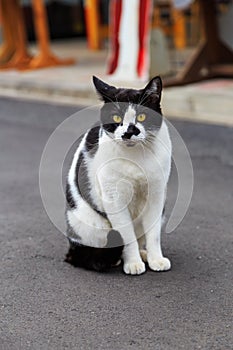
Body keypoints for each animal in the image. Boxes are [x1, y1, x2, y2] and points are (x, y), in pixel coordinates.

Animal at [64, 75, 172, 274]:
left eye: (141, 116)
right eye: (116, 117)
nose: (128, 132)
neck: (136, 157)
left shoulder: (156, 195)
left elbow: (153, 234)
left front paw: (156, 259)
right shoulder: (114, 198)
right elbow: (126, 236)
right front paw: (133, 263)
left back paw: (143, 254)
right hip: (89, 222)